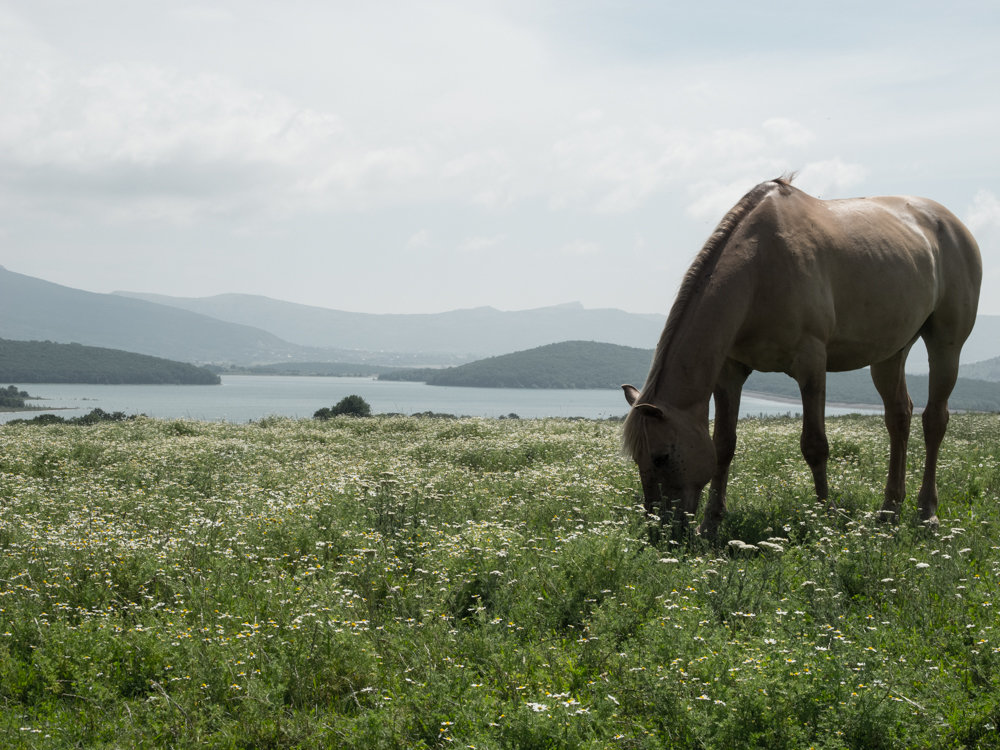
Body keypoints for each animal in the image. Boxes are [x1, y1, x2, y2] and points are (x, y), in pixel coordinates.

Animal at [620, 178, 980, 536]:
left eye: (661, 457)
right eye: (637, 459)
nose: (660, 532)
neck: (760, 268)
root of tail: (954, 225)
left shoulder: (811, 364)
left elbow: (815, 445)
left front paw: (825, 520)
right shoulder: (730, 372)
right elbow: (723, 444)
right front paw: (711, 523)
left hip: (946, 345)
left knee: (934, 420)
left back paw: (927, 513)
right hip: (891, 351)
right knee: (898, 417)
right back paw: (889, 510)